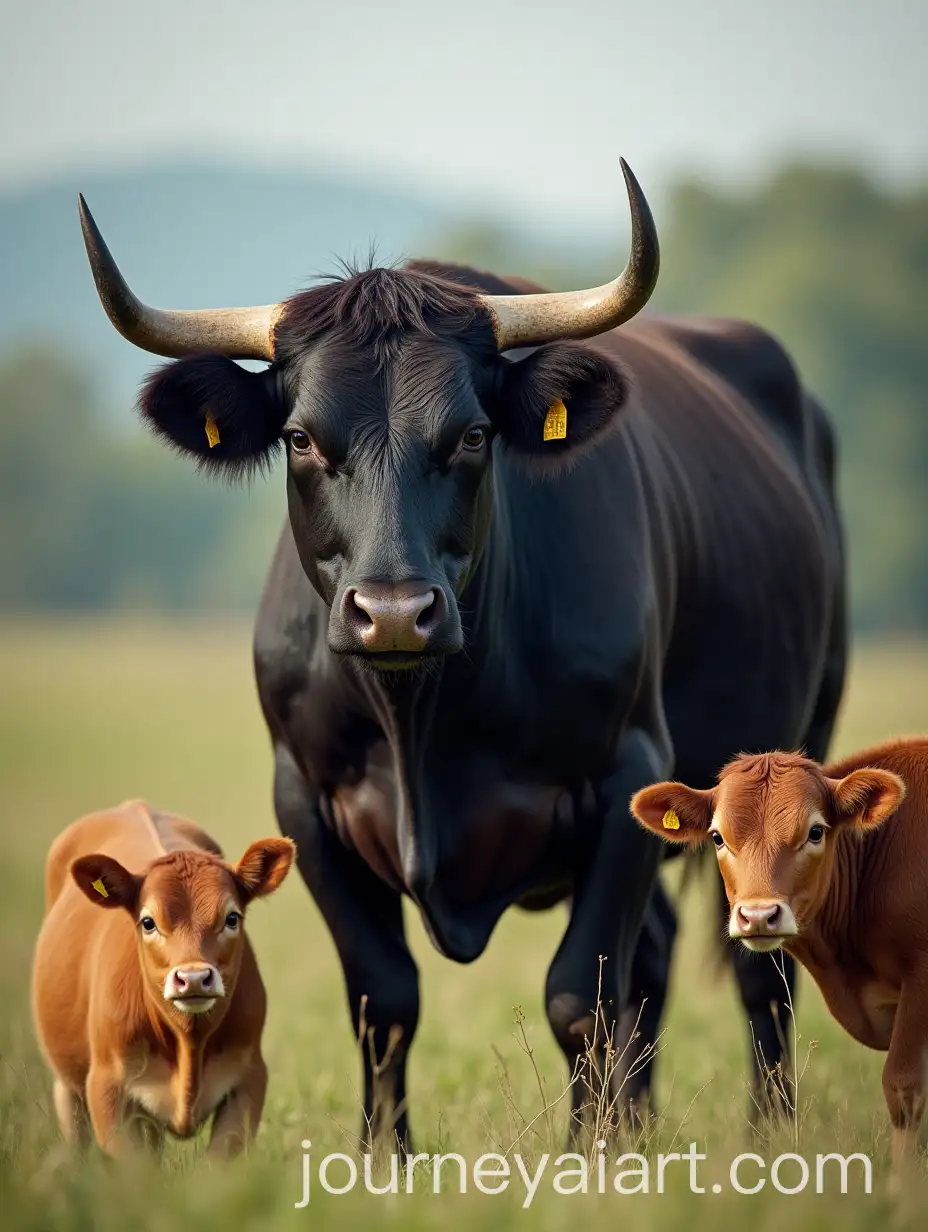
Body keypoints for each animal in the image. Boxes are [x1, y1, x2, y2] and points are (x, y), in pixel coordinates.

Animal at [32, 800, 294, 1156]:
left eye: (231, 918)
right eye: (148, 922)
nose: (194, 978)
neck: (189, 1043)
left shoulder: (248, 1079)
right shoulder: (108, 1088)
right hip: (68, 1086)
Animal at [78, 159, 846, 1146]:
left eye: (473, 434)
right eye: (301, 438)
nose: (395, 613)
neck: (423, 728)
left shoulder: (628, 771)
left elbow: (578, 997)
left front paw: (588, 1155)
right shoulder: (304, 799)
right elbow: (384, 1000)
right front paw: (385, 1157)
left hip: (798, 747)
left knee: (760, 966)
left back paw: (767, 1135)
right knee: (658, 957)